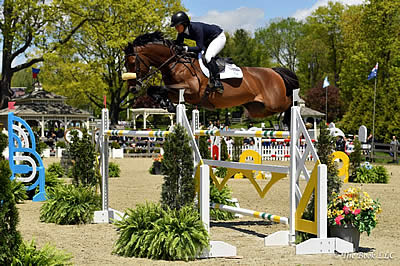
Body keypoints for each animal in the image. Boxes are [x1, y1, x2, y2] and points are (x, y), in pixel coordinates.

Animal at [123, 31, 298, 127]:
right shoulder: (176, 92)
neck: (175, 64)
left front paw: (168, 105)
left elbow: (162, 89)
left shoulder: (191, 91)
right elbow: (154, 90)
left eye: (132, 62)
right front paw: (167, 105)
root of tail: (274, 71)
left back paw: (290, 117)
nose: (132, 88)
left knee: (290, 103)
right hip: (258, 109)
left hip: (275, 102)